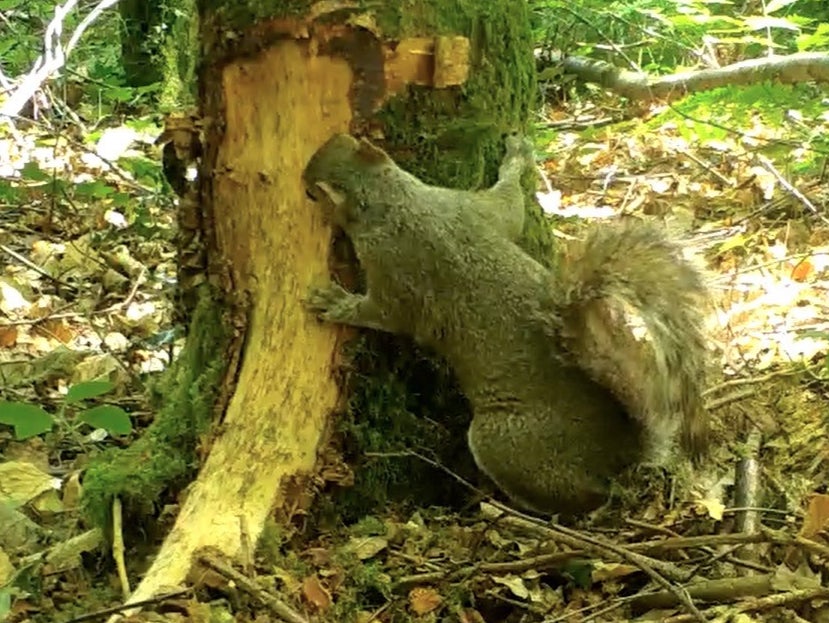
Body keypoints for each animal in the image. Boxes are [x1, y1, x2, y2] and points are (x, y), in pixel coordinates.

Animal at [304, 133, 704, 516]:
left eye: (312, 191)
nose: (304, 180)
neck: (395, 200)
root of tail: (620, 452)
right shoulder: (469, 208)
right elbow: (510, 206)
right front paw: (517, 158)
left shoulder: (396, 270)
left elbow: (386, 314)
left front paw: (337, 304)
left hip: (505, 444)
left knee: (585, 496)